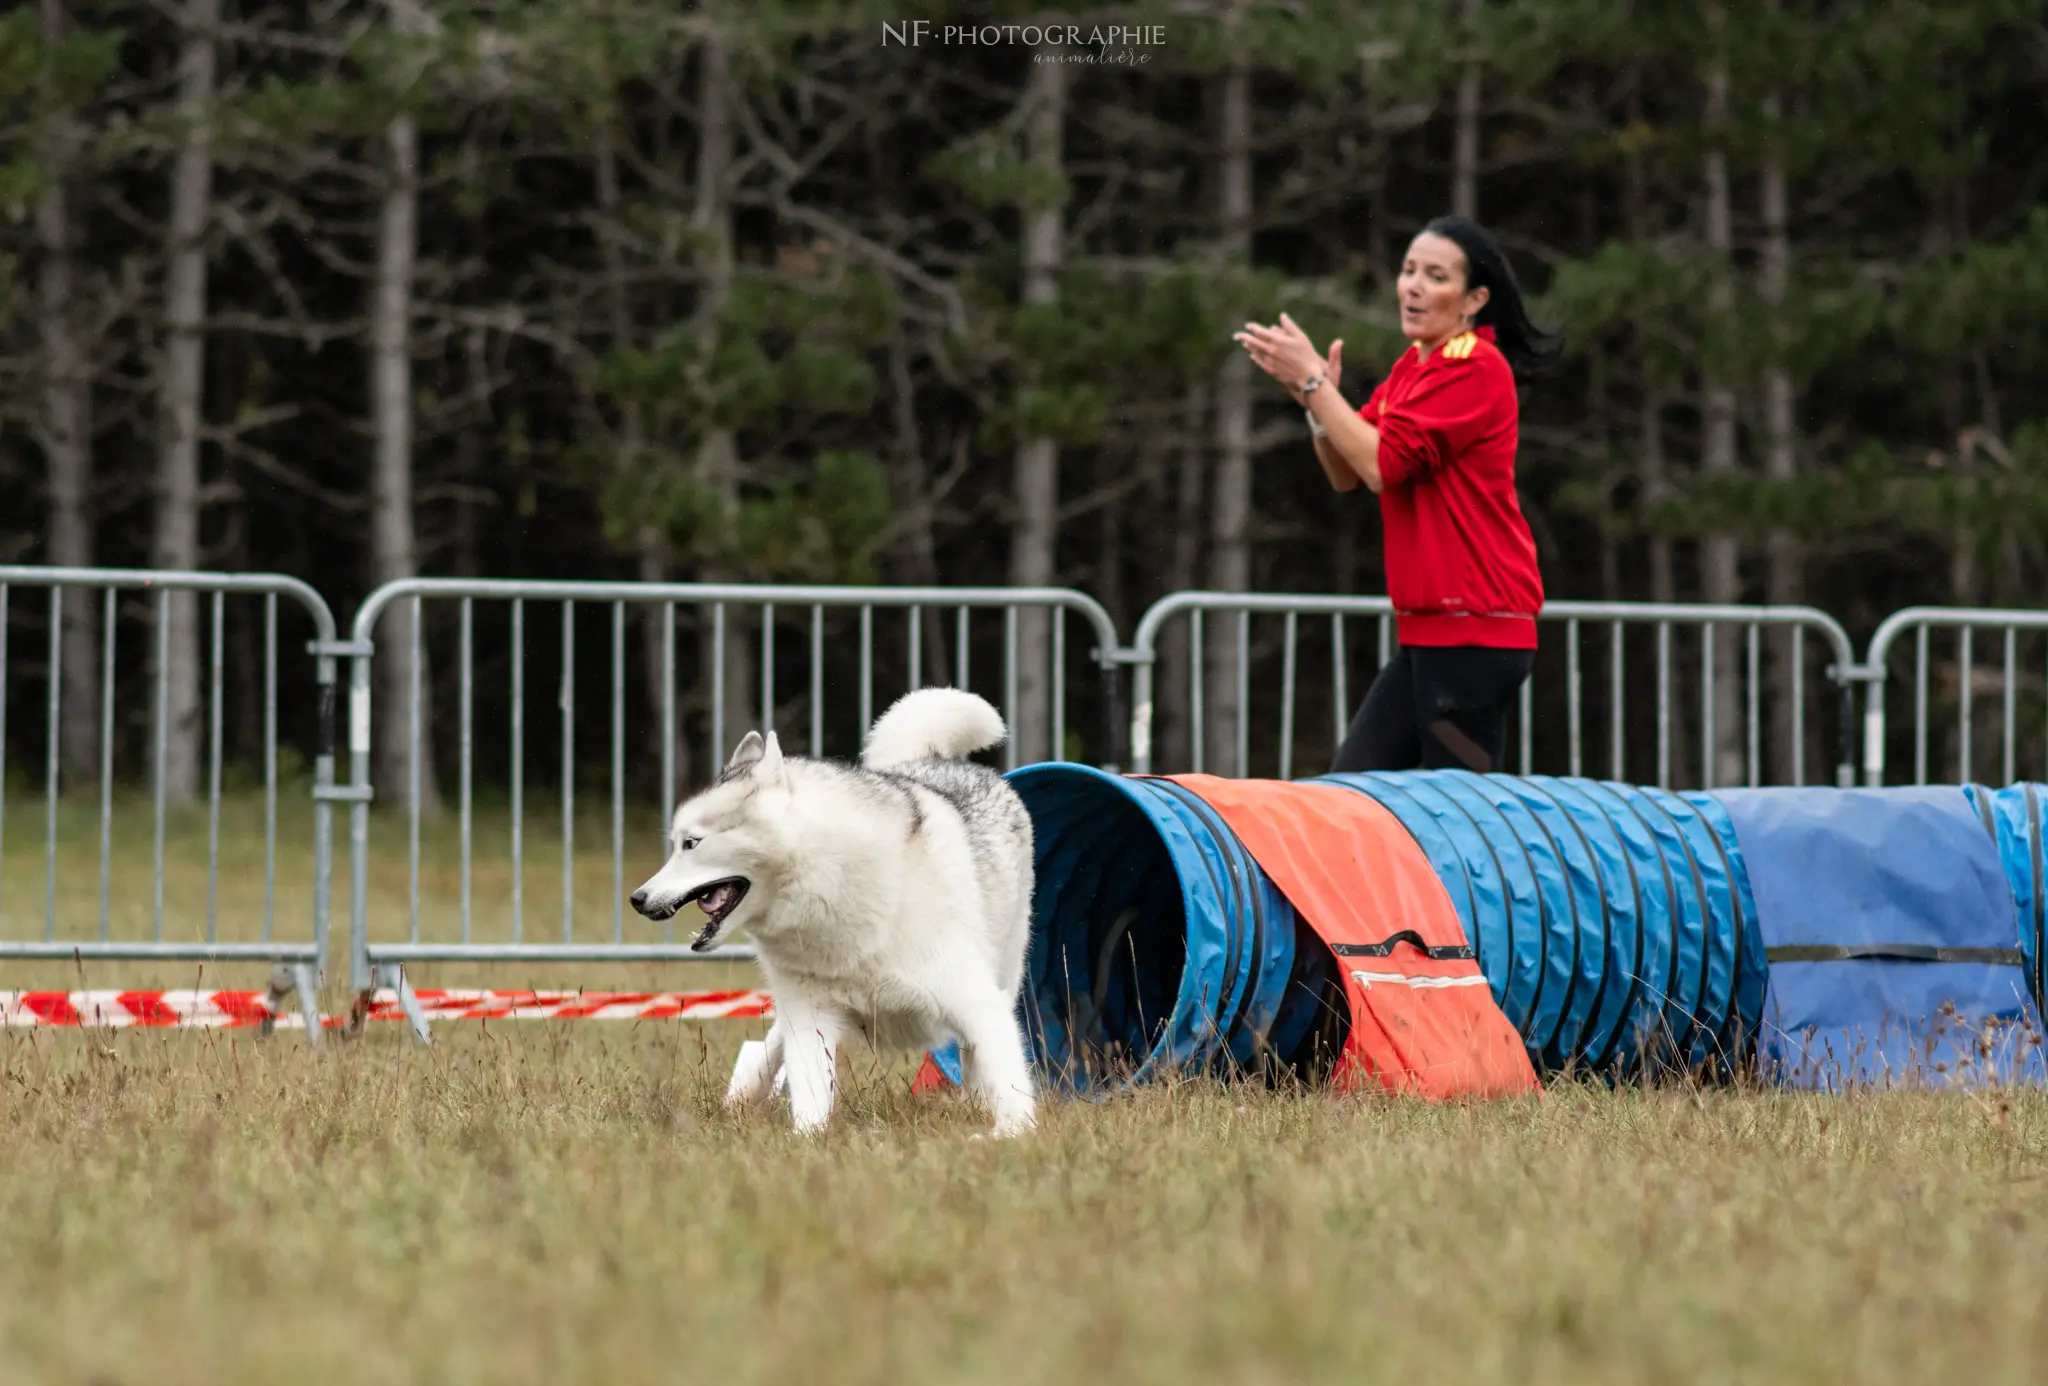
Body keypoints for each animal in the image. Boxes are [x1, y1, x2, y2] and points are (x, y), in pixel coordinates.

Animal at [626, 687, 1040, 1138]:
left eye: (691, 843)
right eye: (676, 843)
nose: (638, 899)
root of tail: (932, 760)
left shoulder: (978, 1001)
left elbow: (1006, 1077)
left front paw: (1009, 1134)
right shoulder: (809, 1019)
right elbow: (809, 1093)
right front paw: (806, 1140)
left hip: (1006, 970)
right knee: (768, 1045)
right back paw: (744, 1093)